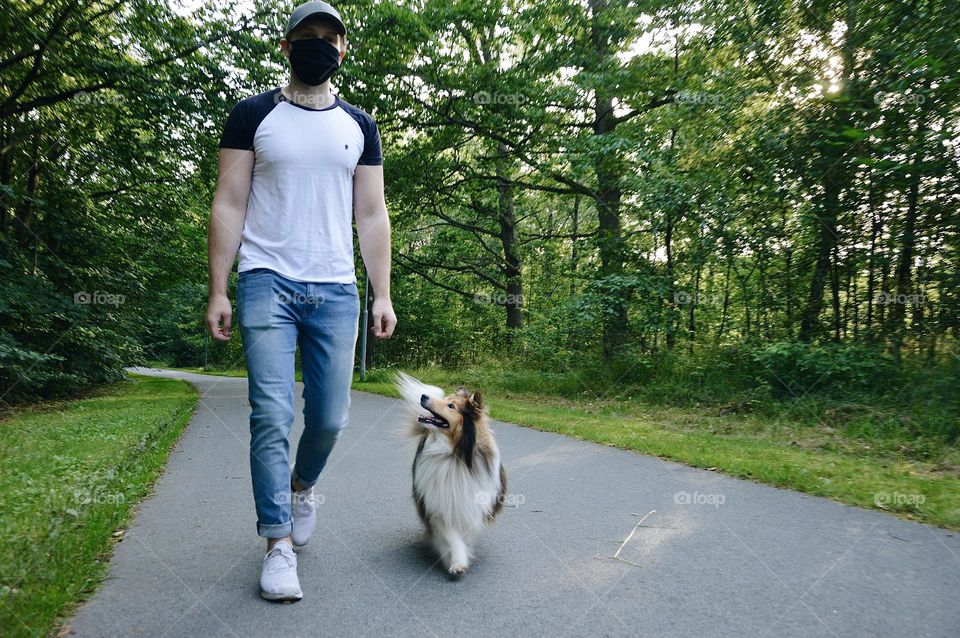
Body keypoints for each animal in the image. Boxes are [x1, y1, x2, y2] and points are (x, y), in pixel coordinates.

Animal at [392, 372, 506, 576]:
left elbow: (466, 533)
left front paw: (462, 555)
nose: (423, 396)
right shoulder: (439, 504)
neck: (453, 453)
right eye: (446, 401)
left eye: (451, 406)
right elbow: (451, 536)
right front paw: (457, 562)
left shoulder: (471, 504)